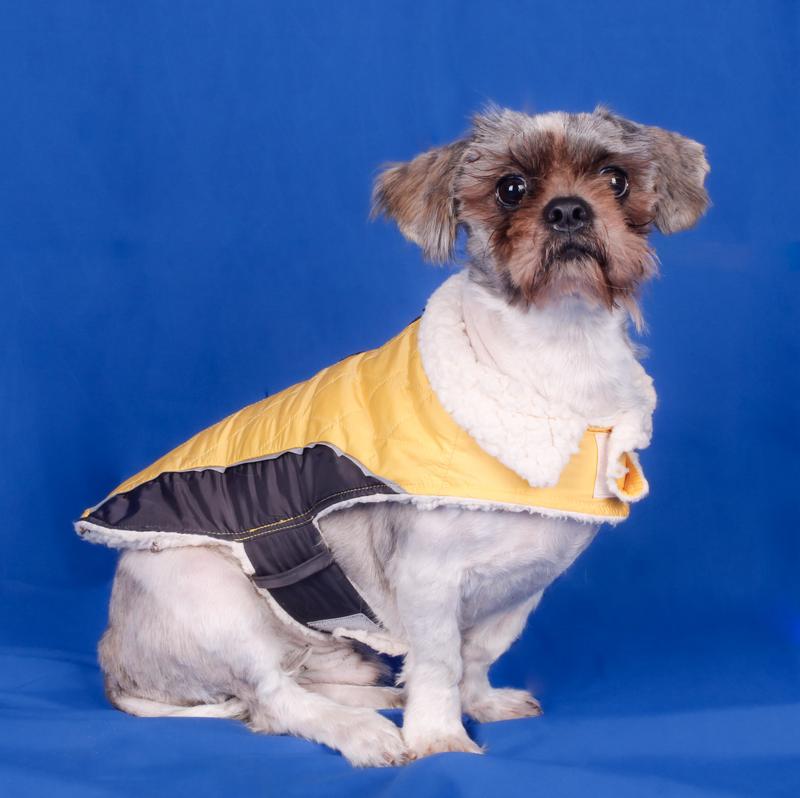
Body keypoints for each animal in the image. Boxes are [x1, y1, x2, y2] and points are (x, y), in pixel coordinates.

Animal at [78, 105, 709, 766]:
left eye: (617, 179)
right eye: (510, 188)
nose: (568, 210)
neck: (556, 359)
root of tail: (116, 662)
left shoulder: (522, 586)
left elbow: (476, 655)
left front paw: (478, 703)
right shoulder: (427, 579)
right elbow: (439, 663)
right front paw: (438, 736)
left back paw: (379, 700)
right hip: (207, 590)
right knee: (273, 698)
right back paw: (361, 731)